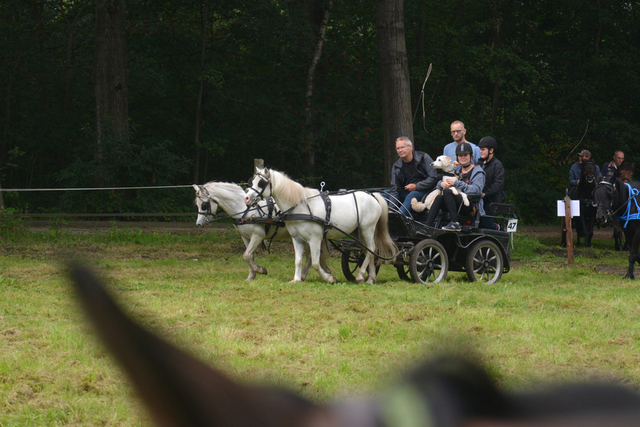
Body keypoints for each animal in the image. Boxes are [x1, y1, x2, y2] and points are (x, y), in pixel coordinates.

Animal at [194, 183, 330, 280]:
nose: (199, 224)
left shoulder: (258, 236)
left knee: (310, 256)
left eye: (204, 205)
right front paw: (251, 276)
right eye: (196, 204)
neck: (245, 209)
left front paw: (260, 270)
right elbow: (250, 256)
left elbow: (246, 255)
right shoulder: (246, 237)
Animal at [244, 169, 396, 286]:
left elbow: (316, 263)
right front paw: (296, 279)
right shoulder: (296, 239)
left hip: (367, 229)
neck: (300, 207)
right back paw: (370, 279)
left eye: (261, 183)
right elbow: (298, 260)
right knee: (367, 251)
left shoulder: (315, 239)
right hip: (357, 233)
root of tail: (373, 196)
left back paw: (360, 276)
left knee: (371, 250)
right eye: (251, 181)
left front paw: (329, 278)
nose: (246, 198)